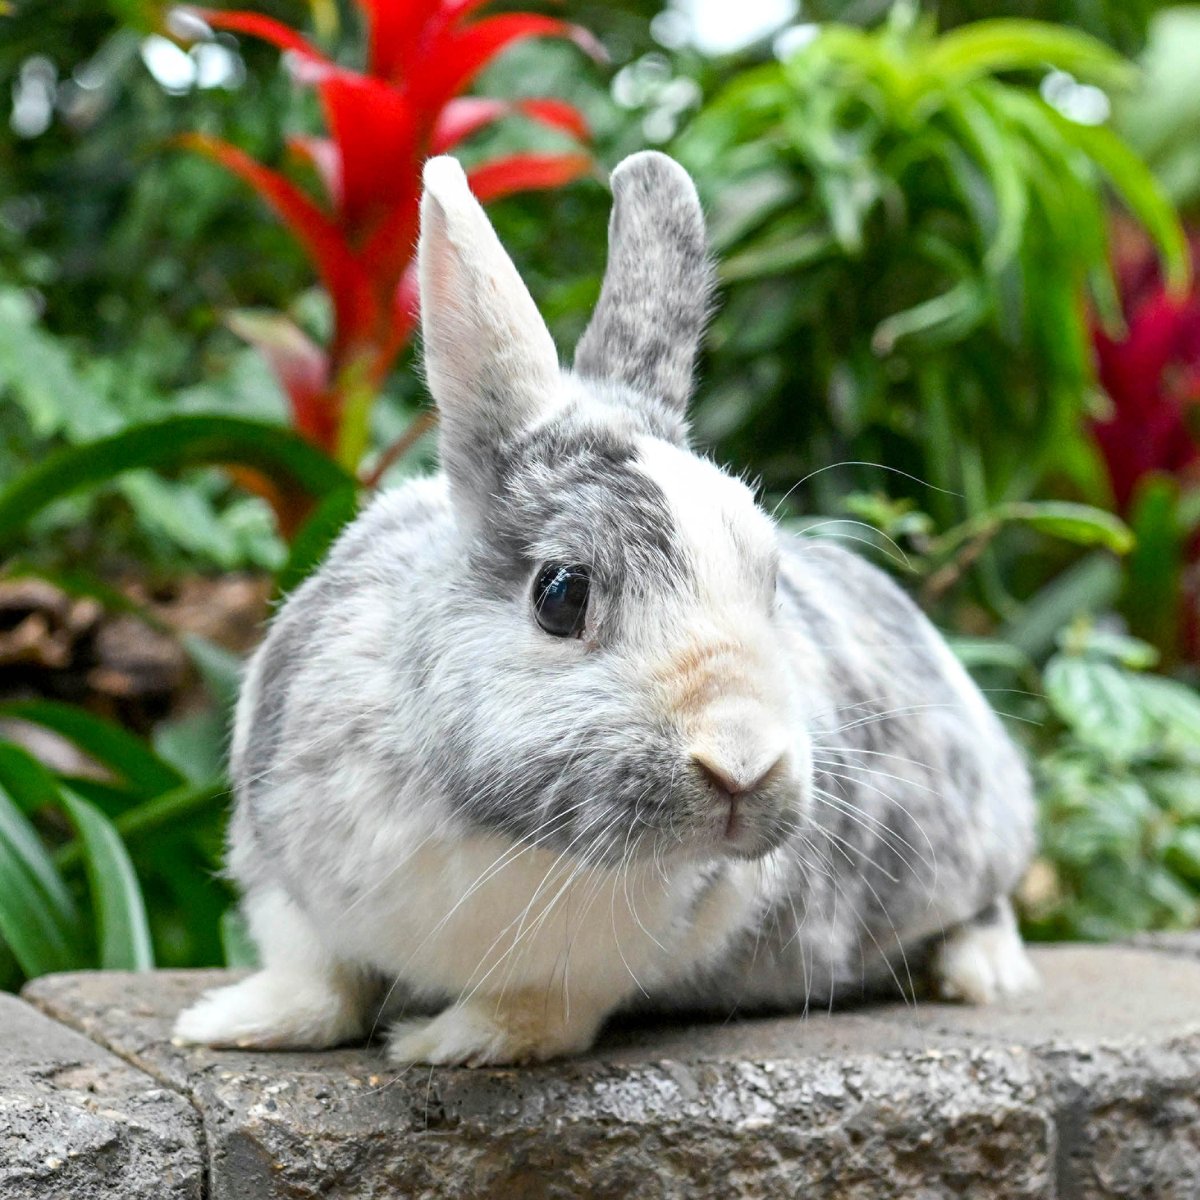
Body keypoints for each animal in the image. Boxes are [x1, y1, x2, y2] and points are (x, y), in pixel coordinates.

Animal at [174, 151, 1038, 1067]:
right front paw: (228, 1023)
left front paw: (445, 1043)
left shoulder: (604, 963)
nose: (743, 763)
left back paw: (983, 974)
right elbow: (321, 983)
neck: (494, 828)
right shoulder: (284, 885)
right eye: (562, 594)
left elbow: (537, 1013)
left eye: (769, 578)